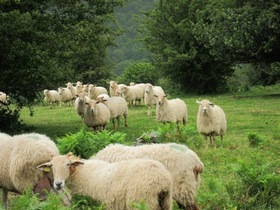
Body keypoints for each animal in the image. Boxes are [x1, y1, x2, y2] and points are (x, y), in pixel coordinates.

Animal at [37, 153, 173, 210]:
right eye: (52, 166)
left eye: (67, 164)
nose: (58, 184)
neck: (79, 173)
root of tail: (162, 180)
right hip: (166, 203)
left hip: (142, 203)